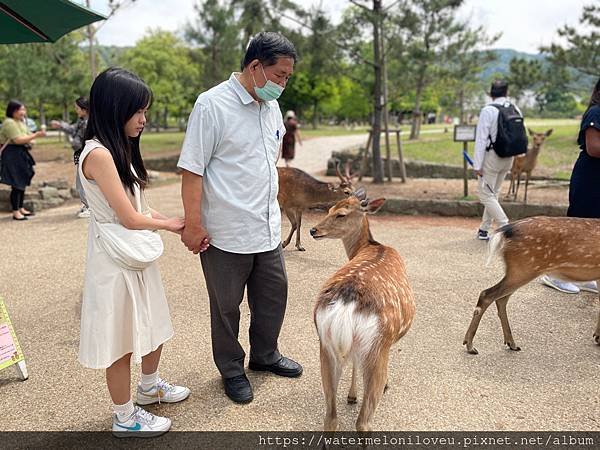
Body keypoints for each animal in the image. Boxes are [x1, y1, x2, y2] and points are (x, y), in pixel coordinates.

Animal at [310, 187, 412, 432]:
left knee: (330, 417)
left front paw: (351, 396)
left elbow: (354, 361)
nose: (313, 230)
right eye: (329, 209)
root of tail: (346, 304)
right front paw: (363, 392)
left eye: (340, 213)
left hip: (325, 345)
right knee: (363, 422)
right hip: (378, 346)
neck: (368, 246)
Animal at [464, 215, 600, 356]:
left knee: (501, 299)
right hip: (524, 268)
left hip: (518, 270)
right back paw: (470, 345)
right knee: (487, 294)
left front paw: (597, 337)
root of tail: (506, 231)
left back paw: (511, 343)